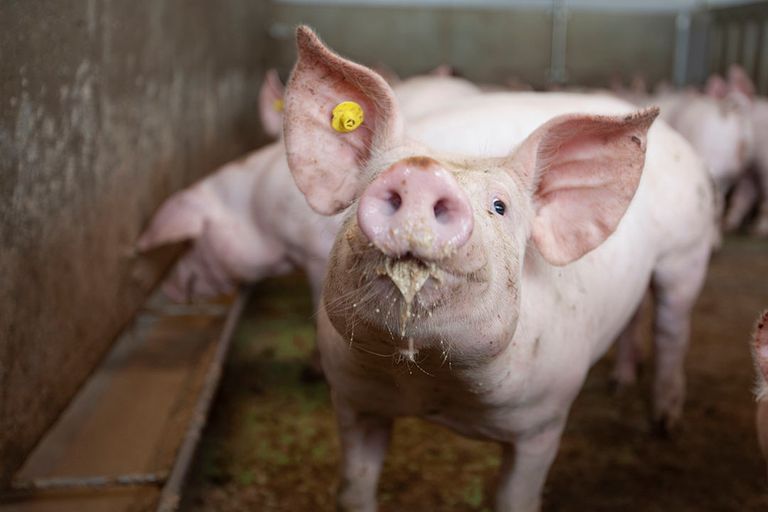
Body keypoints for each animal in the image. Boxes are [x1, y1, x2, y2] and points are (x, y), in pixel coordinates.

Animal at [282, 26, 712, 510]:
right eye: (368, 184)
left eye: (500, 206)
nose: (421, 173)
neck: (433, 385)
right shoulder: (353, 400)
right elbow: (354, 487)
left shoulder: (544, 422)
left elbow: (515, 497)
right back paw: (621, 382)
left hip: (687, 250)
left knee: (672, 328)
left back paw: (664, 424)